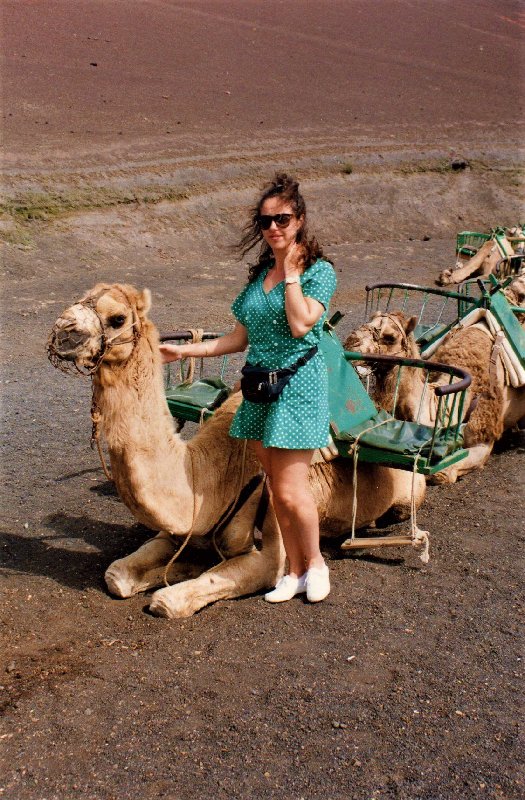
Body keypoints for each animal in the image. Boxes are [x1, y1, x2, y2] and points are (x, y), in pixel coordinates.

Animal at [47, 282, 426, 620]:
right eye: (82, 296)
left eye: (118, 318)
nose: (63, 332)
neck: (211, 473)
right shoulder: (178, 530)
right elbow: (116, 576)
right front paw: (176, 568)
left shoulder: (268, 549)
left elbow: (170, 600)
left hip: (409, 491)